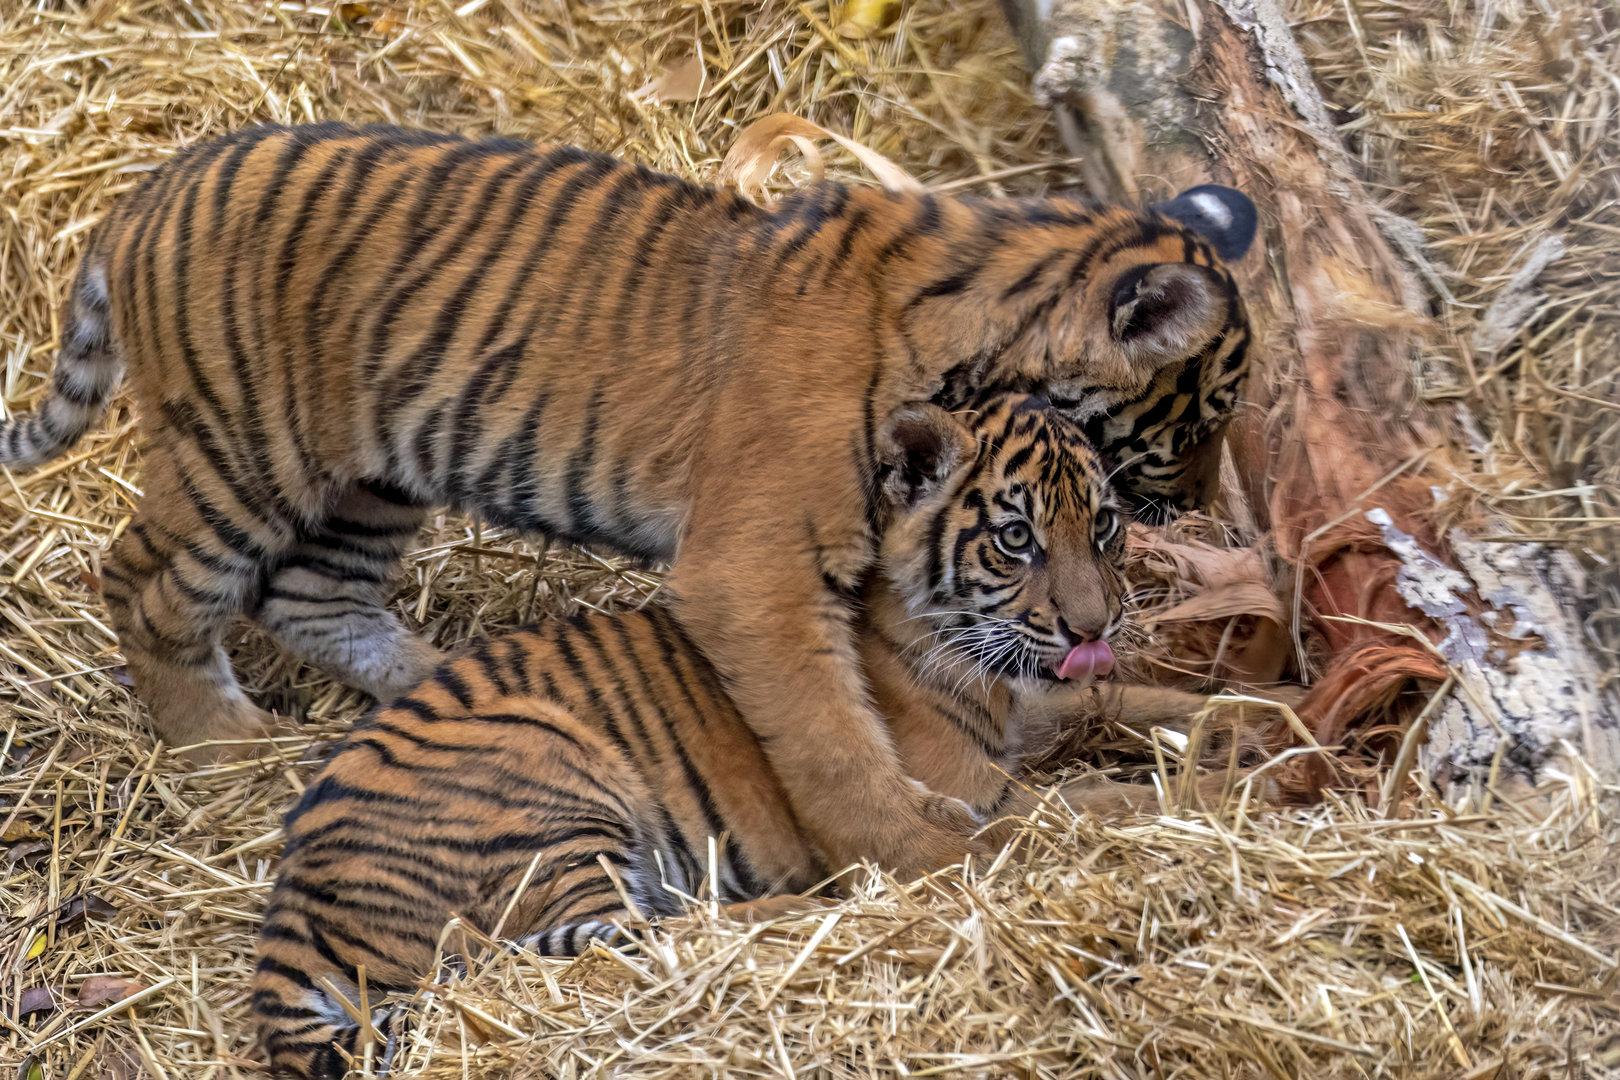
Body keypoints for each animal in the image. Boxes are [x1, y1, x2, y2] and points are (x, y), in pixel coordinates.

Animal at [0, 123, 1257, 880]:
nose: (1190, 518)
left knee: (315, 598)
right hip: (246, 448)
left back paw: (429, 681)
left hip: (371, 474)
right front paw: (911, 848)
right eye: (1202, 416)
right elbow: (830, 735)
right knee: (151, 581)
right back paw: (225, 750)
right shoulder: (755, 570)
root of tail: (142, 195)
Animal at [252, 391, 1154, 1078]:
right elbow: (1082, 808)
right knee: (633, 942)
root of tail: (288, 902)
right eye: (1015, 539)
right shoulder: (969, 786)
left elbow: (1134, 700)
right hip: (556, 777)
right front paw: (1173, 795)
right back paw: (806, 909)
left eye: (1105, 526)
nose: (1094, 627)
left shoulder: (1039, 704)